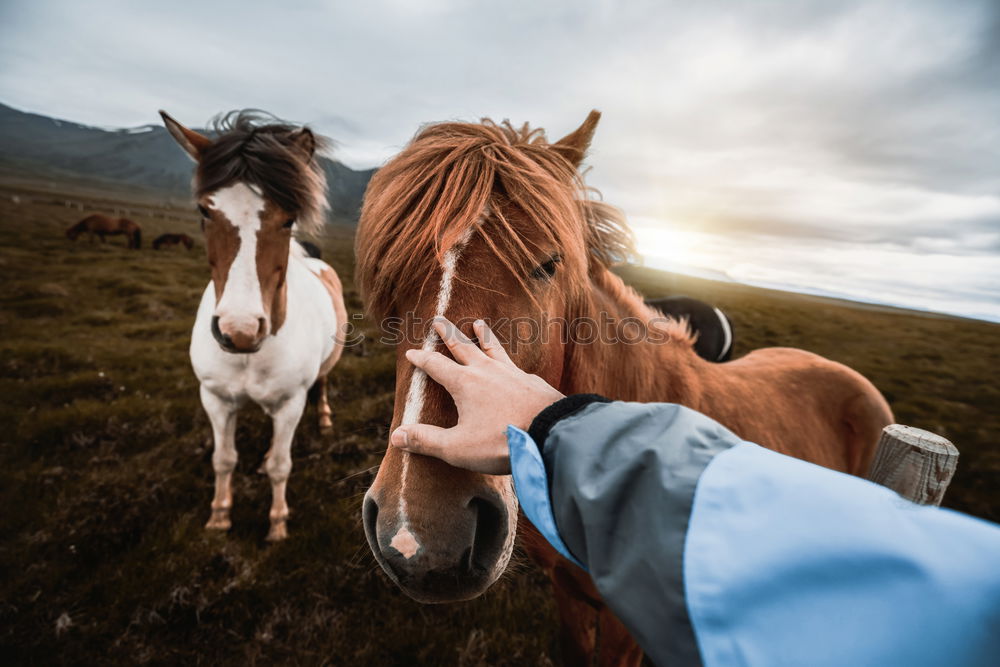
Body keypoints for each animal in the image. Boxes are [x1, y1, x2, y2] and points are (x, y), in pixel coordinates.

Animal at [162, 109, 350, 544]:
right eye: (204, 210)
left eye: (289, 219)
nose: (240, 330)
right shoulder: (214, 399)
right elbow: (223, 459)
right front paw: (219, 516)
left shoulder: (290, 404)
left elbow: (282, 465)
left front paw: (277, 524)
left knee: (323, 384)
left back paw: (324, 418)